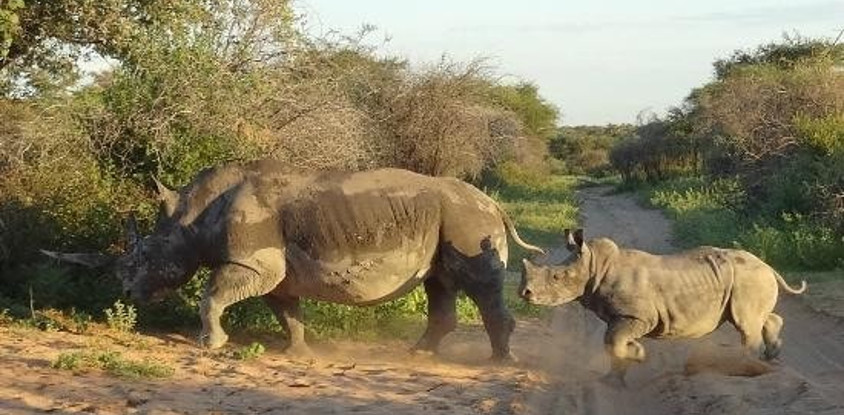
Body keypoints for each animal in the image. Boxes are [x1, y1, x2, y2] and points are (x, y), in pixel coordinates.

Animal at [43, 160, 544, 360]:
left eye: (146, 255)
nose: (127, 293)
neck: (190, 218)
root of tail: (493, 202)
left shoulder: (252, 262)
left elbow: (211, 295)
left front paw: (211, 345)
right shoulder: (273, 271)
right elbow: (287, 311)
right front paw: (297, 351)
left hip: (468, 221)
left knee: (478, 285)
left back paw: (500, 362)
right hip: (450, 220)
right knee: (438, 284)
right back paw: (418, 354)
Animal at [519, 228, 806, 384]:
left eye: (557, 277)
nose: (524, 293)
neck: (595, 267)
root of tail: (768, 266)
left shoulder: (637, 316)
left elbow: (614, 342)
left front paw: (637, 354)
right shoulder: (619, 316)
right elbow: (612, 344)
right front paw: (613, 379)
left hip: (748, 279)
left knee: (746, 325)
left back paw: (745, 367)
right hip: (747, 279)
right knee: (756, 319)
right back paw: (770, 357)